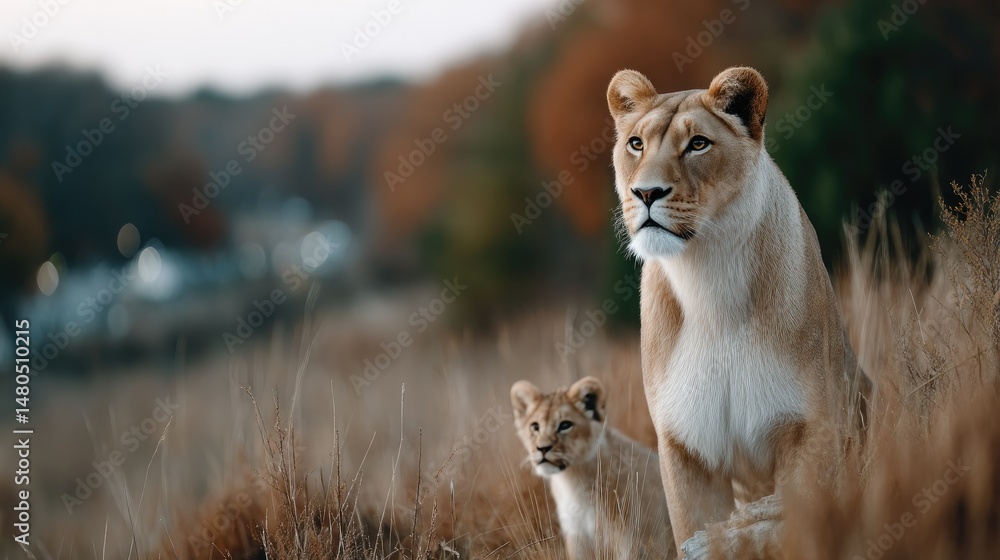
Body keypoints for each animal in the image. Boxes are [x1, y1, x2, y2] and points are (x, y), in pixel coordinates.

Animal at [510, 376, 675, 559]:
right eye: (535, 426)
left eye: (565, 425)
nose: (542, 448)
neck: (574, 480)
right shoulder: (577, 535)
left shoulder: (641, 538)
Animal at [605, 67, 872, 558]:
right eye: (636, 144)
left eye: (698, 144)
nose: (646, 192)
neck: (707, 278)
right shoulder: (684, 445)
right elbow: (695, 526)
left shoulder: (808, 429)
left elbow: (795, 525)